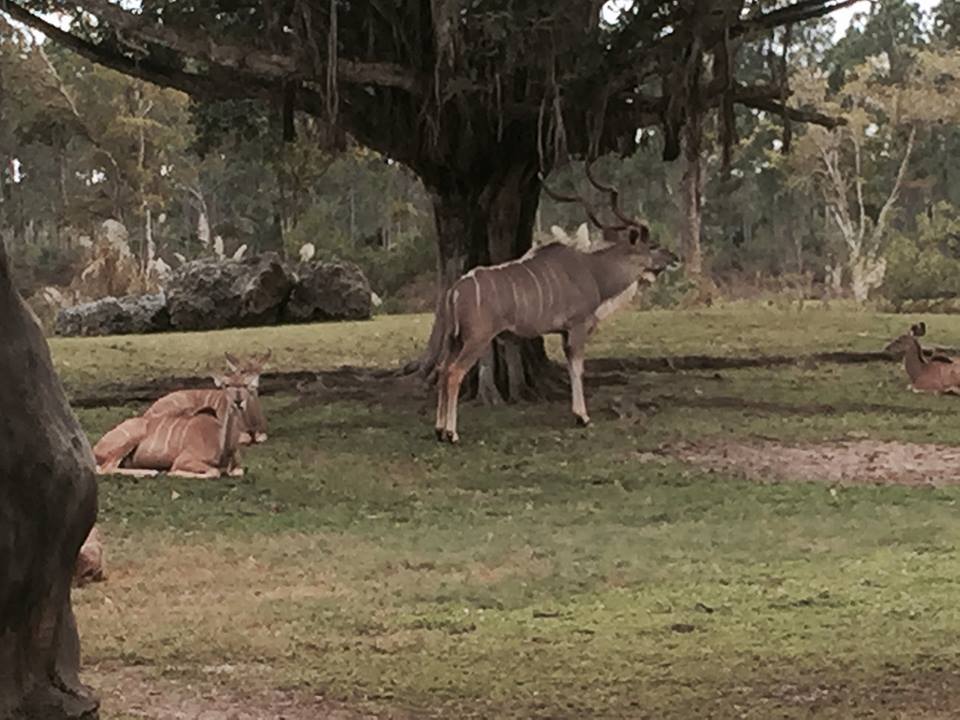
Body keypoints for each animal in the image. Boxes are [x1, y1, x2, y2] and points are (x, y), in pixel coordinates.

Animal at [93, 371, 251, 477]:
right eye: (227, 385)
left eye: (245, 385)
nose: (238, 401)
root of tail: (96, 449)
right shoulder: (184, 459)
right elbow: (214, 471)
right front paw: (171, 473)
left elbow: (237, 471)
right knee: (104, 469)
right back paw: (150, 472)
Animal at [434, 162, 679, 443]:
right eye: (653, 245)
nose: (675, 258)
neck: (593, 271)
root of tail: (455, 290)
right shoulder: (577, 326)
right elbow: (578, 368)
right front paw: (583, 417)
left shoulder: (564, 332)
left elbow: (573, 367)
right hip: (477, 339)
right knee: (454, 373)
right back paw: (451, 433)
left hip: (453, 339)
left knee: (443, 369)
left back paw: (439, 429)